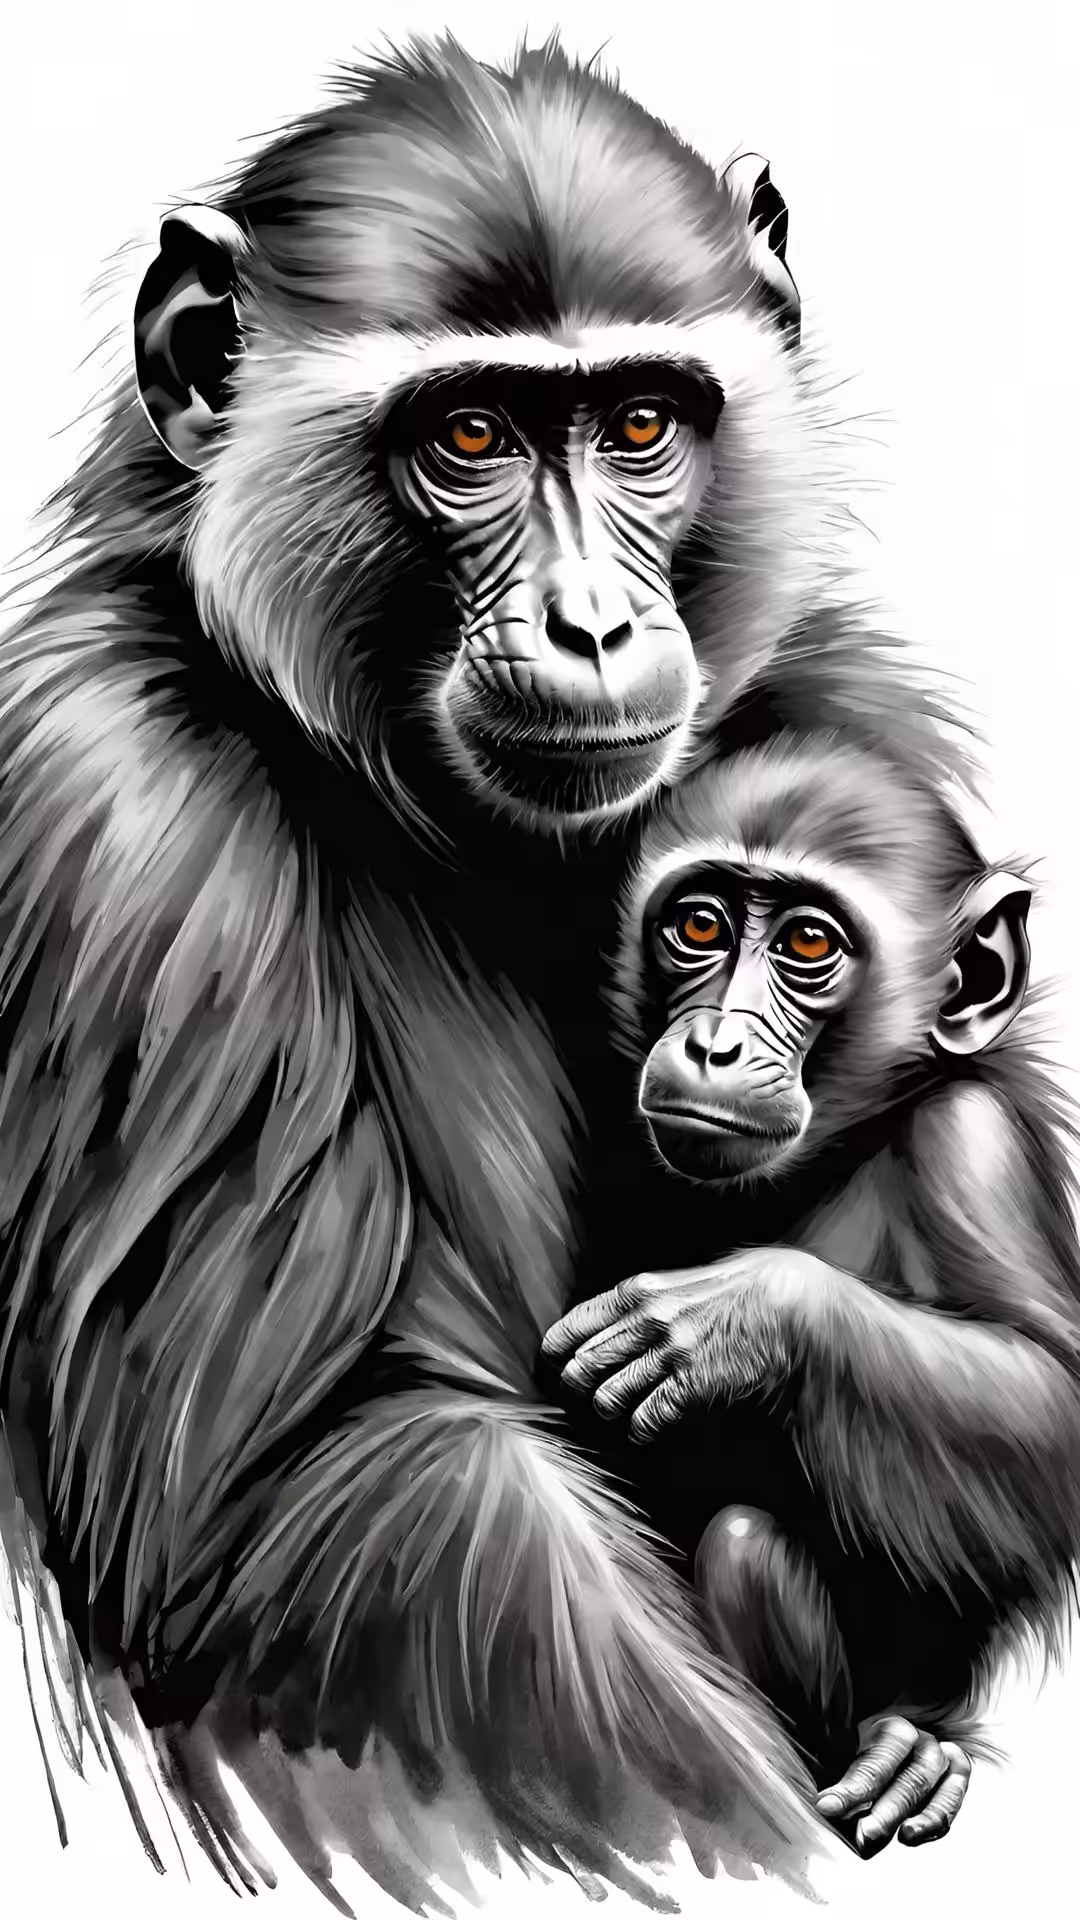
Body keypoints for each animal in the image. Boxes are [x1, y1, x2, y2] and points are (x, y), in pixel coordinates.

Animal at [0, 30, 991, 1911]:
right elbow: (317, 1488)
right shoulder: (118, 822)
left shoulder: (844, 718)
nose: (594, 620)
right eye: (469, 434)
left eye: (642, 422)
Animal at [543, 729, 1080, 1859]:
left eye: (806, 945)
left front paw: (734, 1321)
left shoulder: (975, 1145)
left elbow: (1052, 1404)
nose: (714, 1043)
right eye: (700, 926)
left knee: (747, 1550)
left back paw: (904, 1753)